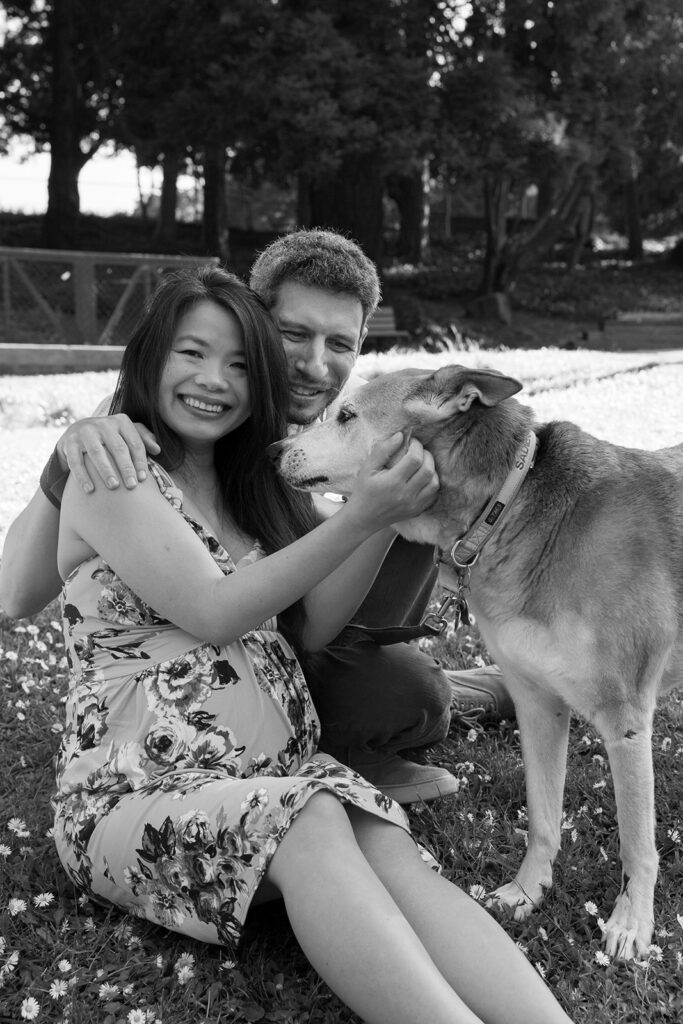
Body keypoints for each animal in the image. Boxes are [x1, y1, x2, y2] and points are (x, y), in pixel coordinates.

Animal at [272, 366, 683, 958]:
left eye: (347, 416)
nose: (273, 451)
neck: (509, 508)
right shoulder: (537, 704)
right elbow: (543, 818)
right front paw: (527, 892)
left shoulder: (624, 719)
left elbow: (636, 843)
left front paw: (631, 923)